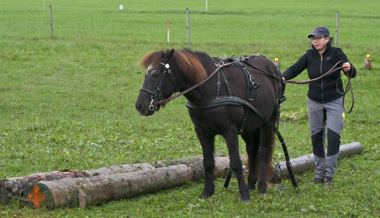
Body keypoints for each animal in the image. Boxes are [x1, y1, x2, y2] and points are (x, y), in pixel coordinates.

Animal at [137, 48, 282, 202]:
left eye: (155, 74)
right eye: (146, 74)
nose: (139, 105)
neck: (210, 88)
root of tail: (272, 66)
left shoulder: (230, 131)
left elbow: (236, 162)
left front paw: (244, 195)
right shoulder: (202, 131)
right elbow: (207, 162)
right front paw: (207, 191)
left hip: (268, 121)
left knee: (262, 152)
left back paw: (261, 187)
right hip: (250, 125)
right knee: (252, 150)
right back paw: (251, 184)